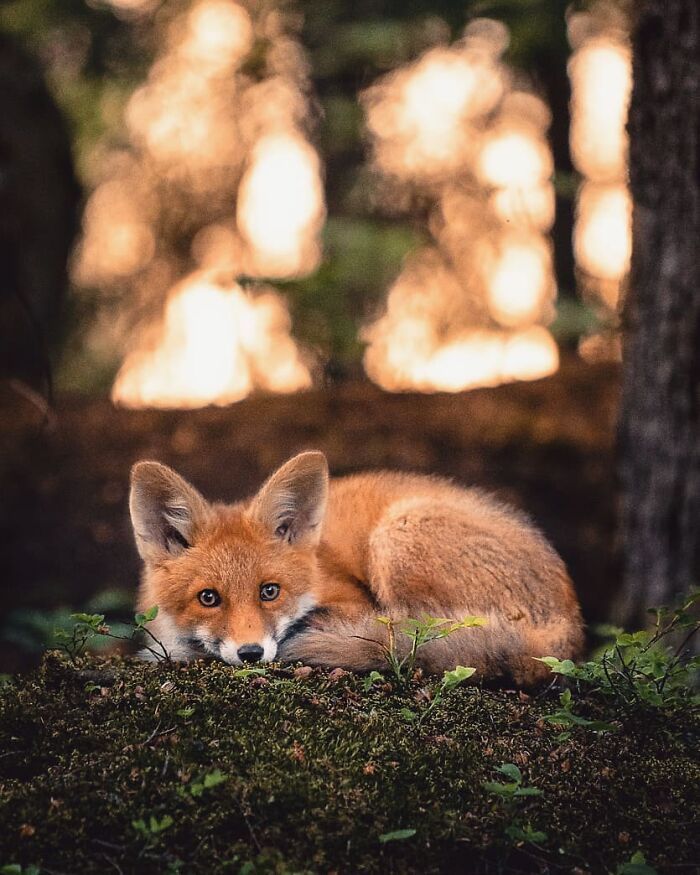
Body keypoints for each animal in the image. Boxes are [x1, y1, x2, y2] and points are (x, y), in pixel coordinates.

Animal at [129, 450, 584, 685]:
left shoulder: (354, 603)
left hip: (397, 535)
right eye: (208, 598)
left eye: (269, 591)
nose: (251, 653)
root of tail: (569, 627)